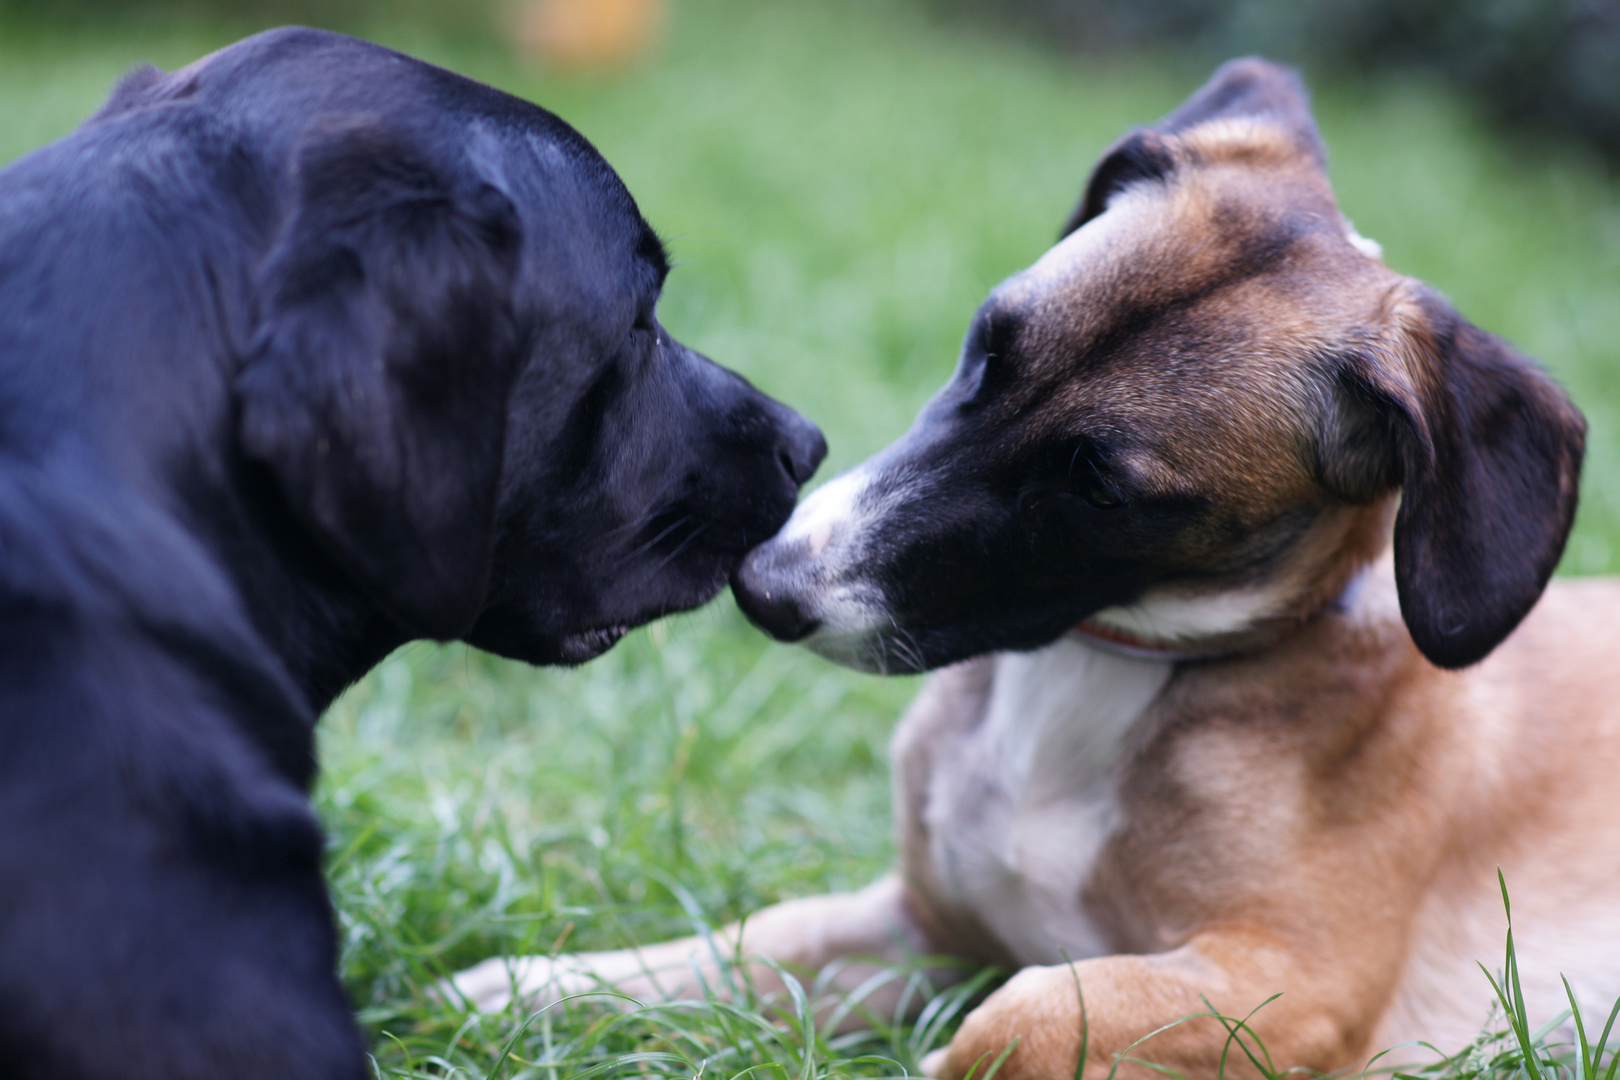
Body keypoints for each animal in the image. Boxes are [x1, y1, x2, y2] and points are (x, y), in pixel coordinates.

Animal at [450, 61, 1613, 1080]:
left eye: (1100, 487)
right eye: (988, 341)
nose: (764, 589)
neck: (1100, 675)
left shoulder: (1291, 986)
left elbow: (1032, 1012)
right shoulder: (922, 925)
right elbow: (753, 945)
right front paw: (548, 987)